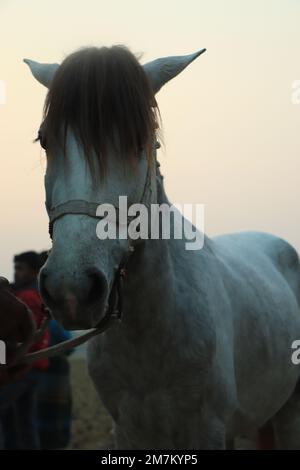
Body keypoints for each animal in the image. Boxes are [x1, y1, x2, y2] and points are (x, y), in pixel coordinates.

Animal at [24, 46, 300, 448]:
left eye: (141, 139)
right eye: (44, 139)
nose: (71, 288)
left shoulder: (208, 429)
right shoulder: (128, 430)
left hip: (287, 411)